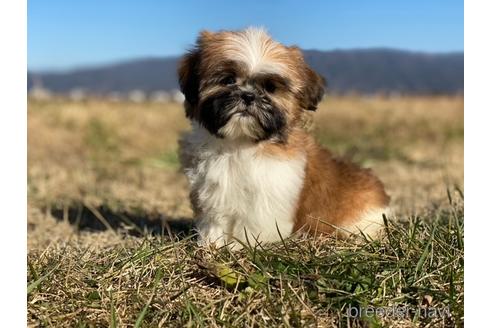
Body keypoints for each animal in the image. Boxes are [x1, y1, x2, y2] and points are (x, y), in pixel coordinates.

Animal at [179, 28, 390, 247]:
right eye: (228, 80)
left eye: (270, 88)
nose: (248, 96)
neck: (240, 142)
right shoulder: (211, 189)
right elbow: (215, 218)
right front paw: (211, 244)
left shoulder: (269, 196)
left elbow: (253, 224)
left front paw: (243, 246)